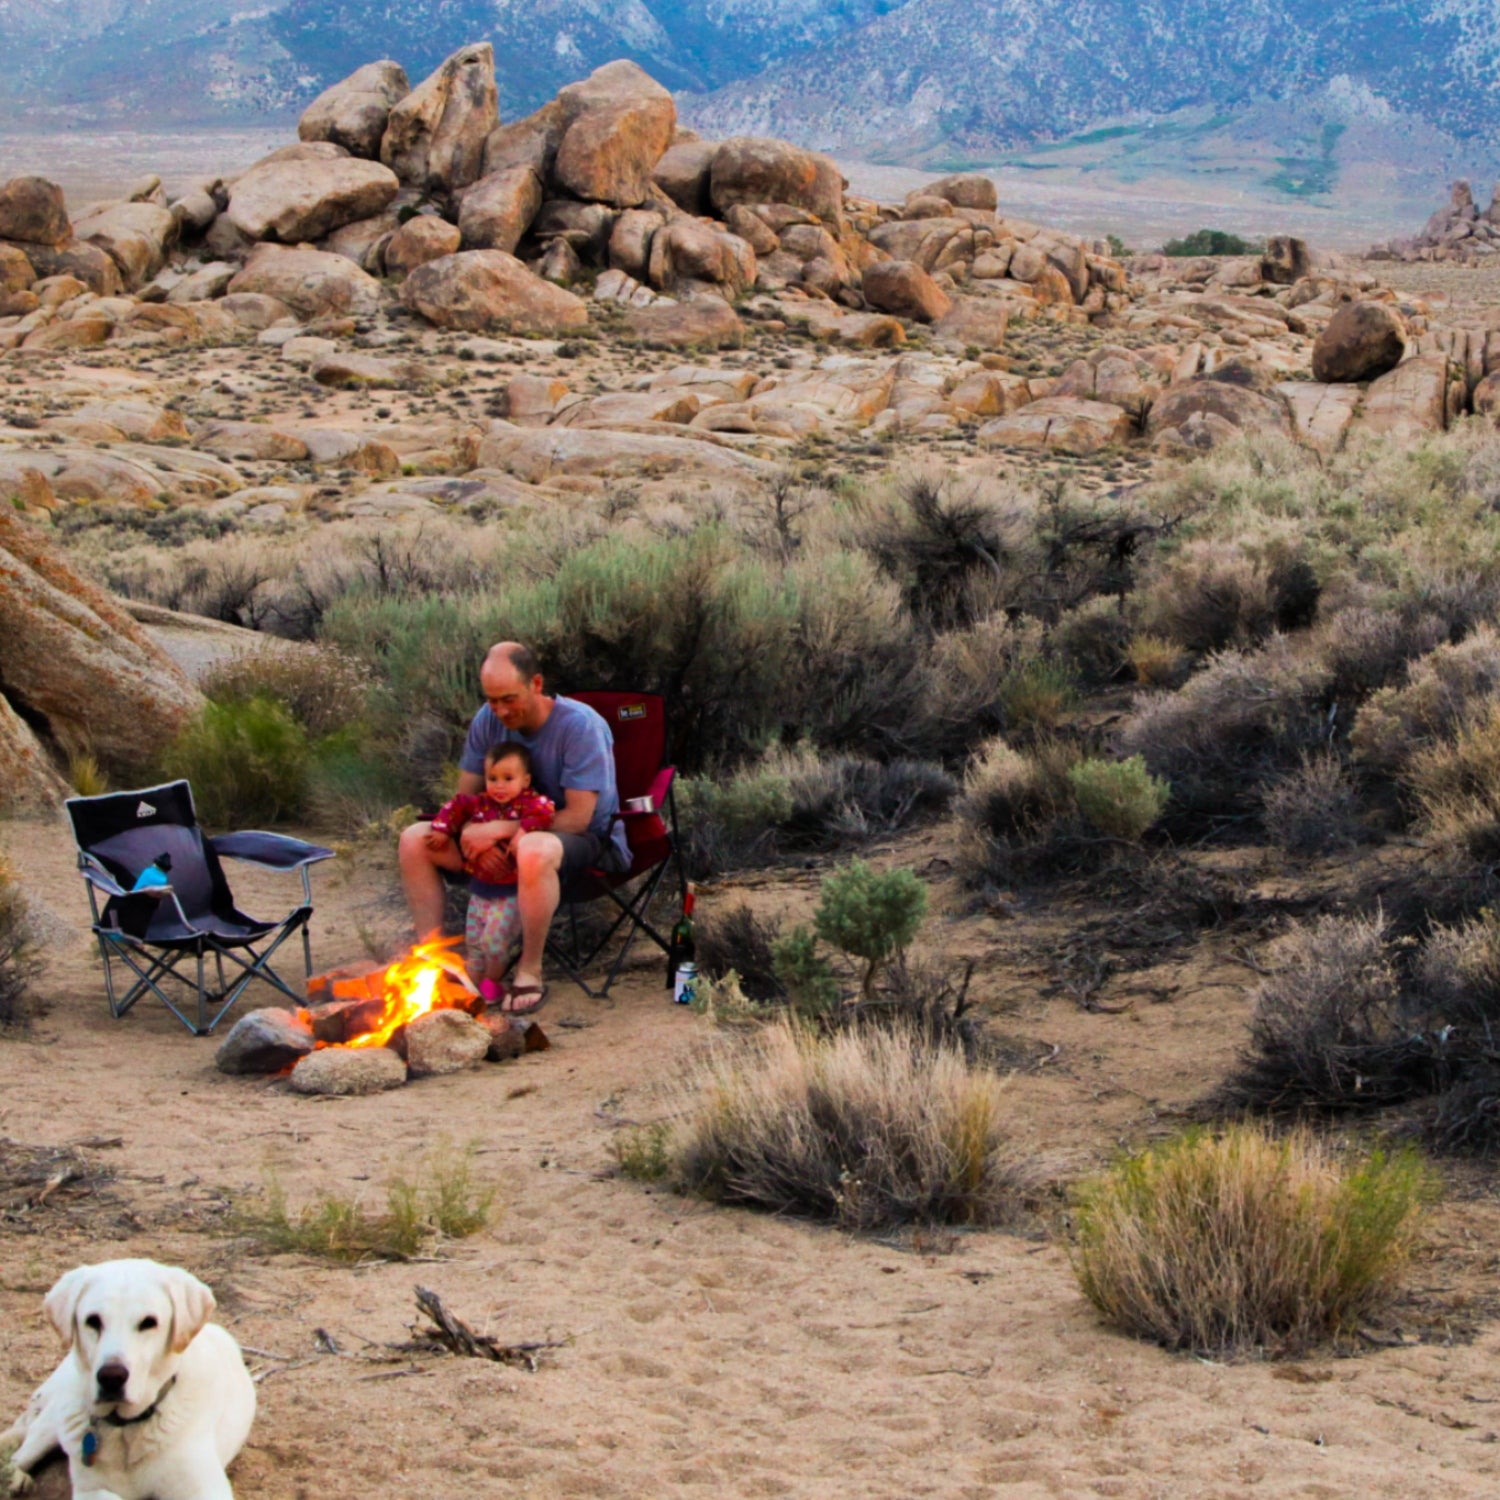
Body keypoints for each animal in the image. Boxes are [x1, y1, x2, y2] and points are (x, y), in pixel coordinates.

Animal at [2, 1260, 256, 1494]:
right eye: (93, 1321)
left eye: (149, 1323)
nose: (111, 1377)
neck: (124, 1428)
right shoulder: (91, 1490)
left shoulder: (203, 1487)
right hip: (50, 1425)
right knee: (19, 1454)